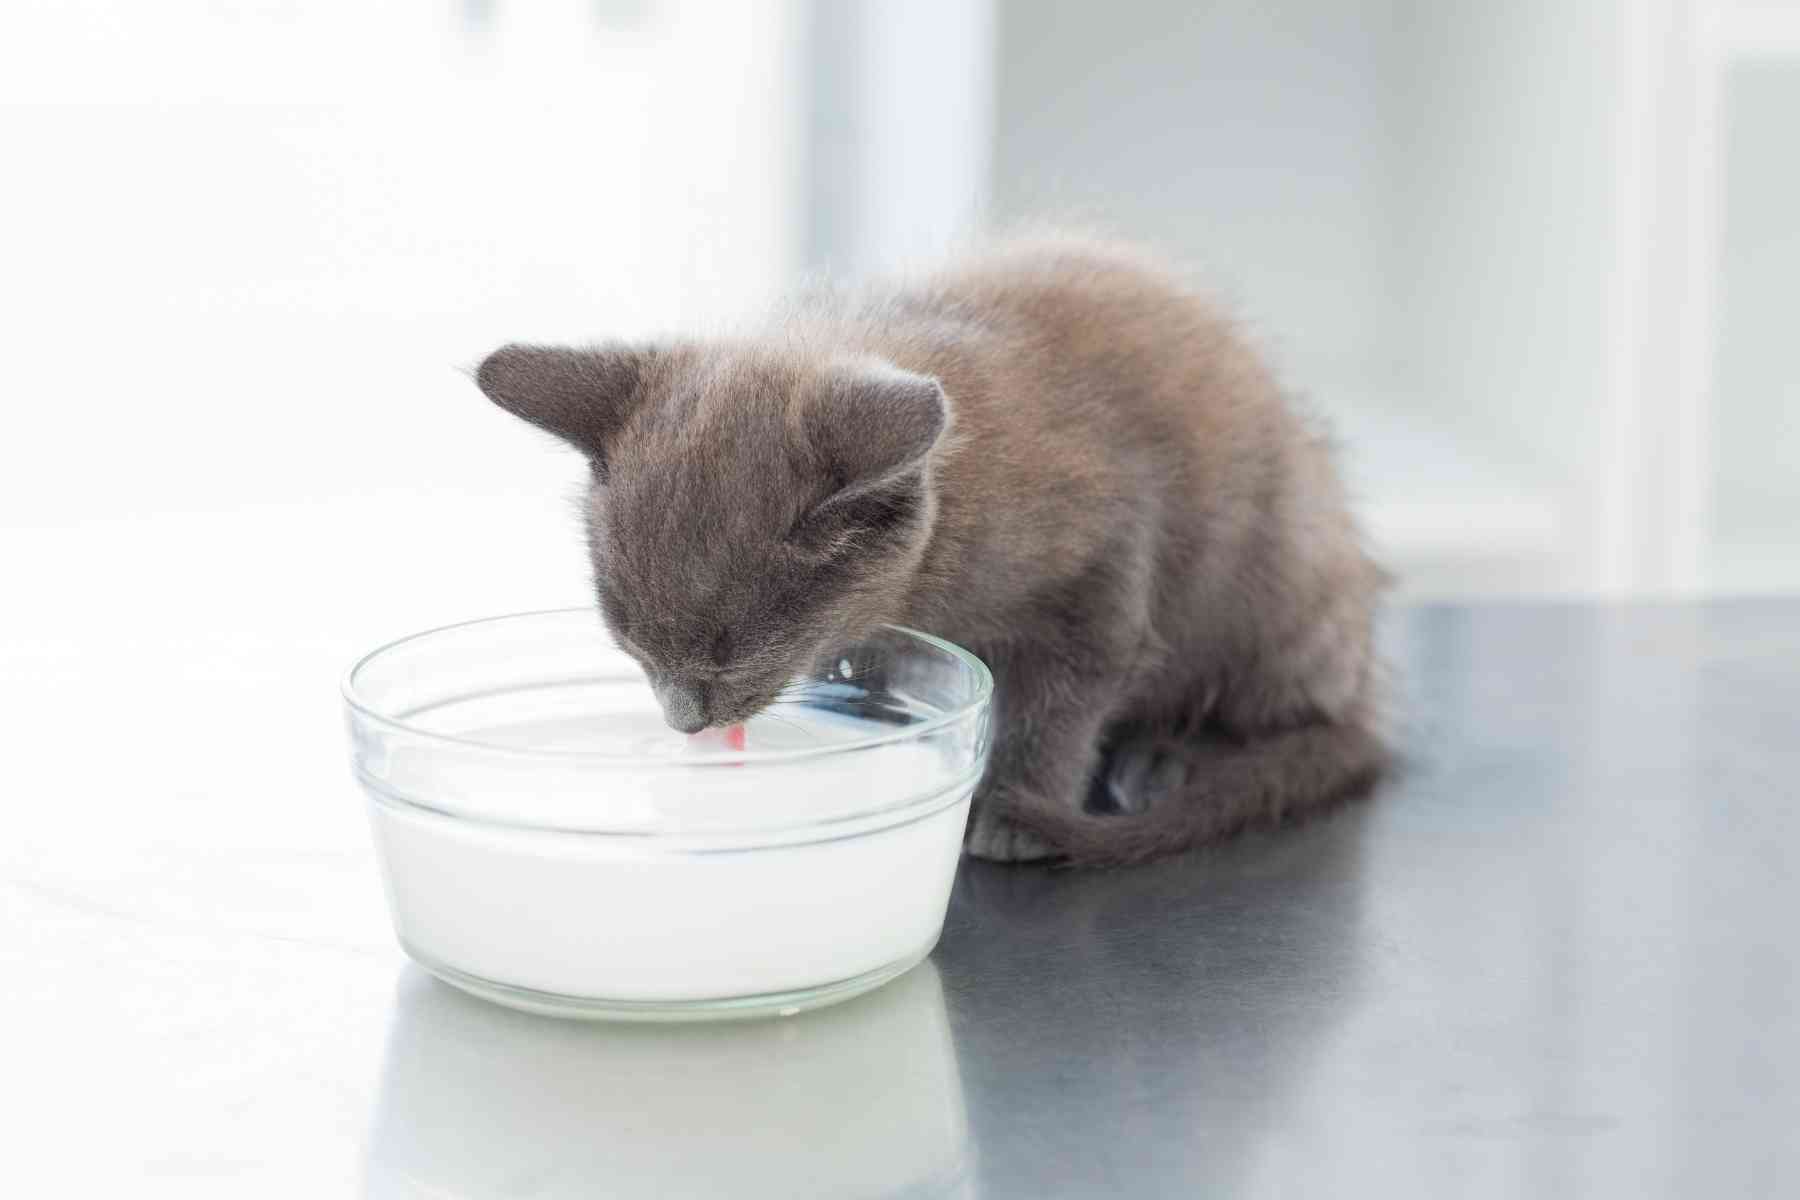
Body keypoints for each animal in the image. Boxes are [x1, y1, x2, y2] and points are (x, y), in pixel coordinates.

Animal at [471, 233, 1382, 863]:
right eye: (629, 640)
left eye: (729, 655)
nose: (683, 719)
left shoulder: (1105, 561)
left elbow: (1063, 698)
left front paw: (1012, 810)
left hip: (1273, 574)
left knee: (1310, 720)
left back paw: (1170, 758)